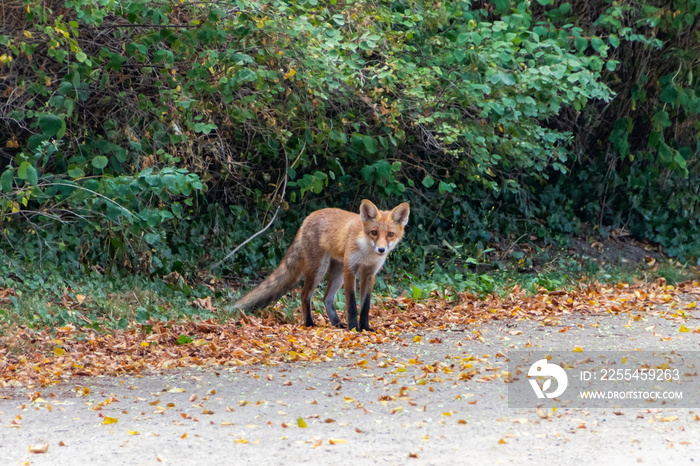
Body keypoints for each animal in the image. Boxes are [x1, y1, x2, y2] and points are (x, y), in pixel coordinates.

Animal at [235, 200, 410, 332]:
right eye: (374, 232)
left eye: (390, 234)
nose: (381, 250)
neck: (367, 251)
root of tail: (307, 218)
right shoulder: (350, 270)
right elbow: (352, 305)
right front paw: (354, 328)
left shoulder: (369, 273)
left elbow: (365, 306)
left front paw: (365, 328)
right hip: (319, 269)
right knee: (305, 294)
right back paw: (309, 323)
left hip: (337, 274)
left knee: (327, 298)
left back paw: (337, 324)